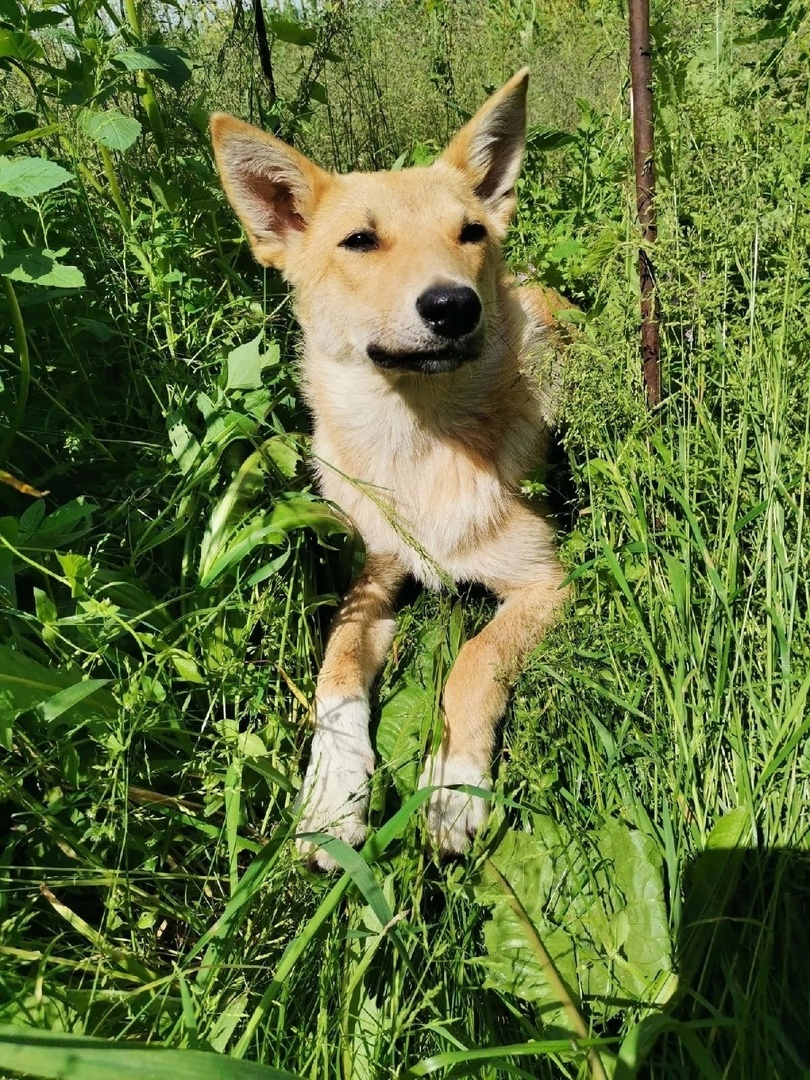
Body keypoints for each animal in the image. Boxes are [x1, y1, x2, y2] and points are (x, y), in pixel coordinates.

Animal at [212, 69, 574, 868]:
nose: (454, 306)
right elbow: (336, 672)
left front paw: (452, 787)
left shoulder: (548, 583)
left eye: (470, 232)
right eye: (359, 241)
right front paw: (330, 796)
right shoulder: (373, 574)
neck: (418, 445)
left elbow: (474, 662)